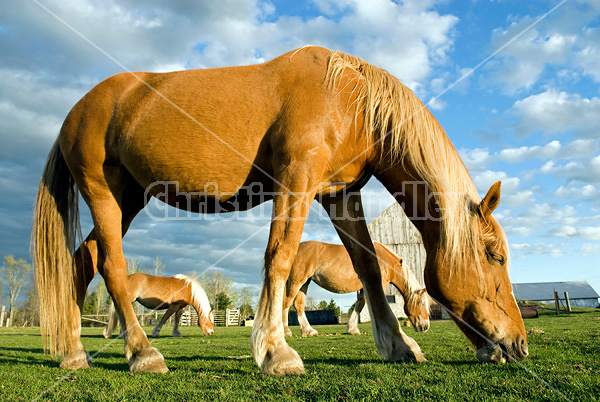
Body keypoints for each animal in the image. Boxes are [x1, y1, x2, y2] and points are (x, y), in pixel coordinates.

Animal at [284, 240, 428, 338]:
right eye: (421, 303)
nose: (425, 327)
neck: (383, 260)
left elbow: (359, 305)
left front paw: (352, 329)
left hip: (305, 283)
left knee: (298, 305)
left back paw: (308, 331)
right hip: (296, 281)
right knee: (286, 303)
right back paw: (286, 332)